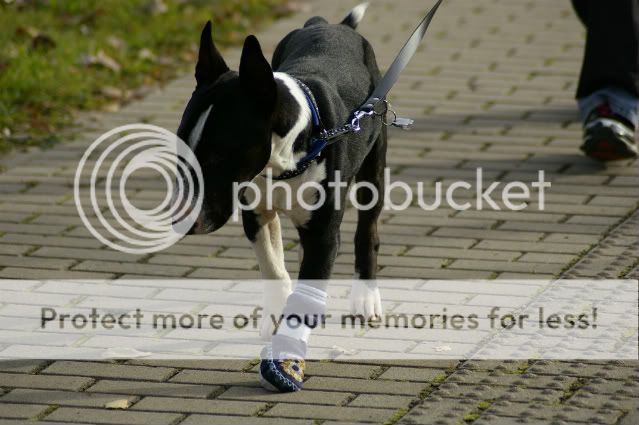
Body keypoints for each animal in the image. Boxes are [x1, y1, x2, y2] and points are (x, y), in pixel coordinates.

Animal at [177, 3, 386, 339]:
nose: (181, 221)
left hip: (374, 165)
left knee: (367, 230)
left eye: (219, 157)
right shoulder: (257, 214)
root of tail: (333, 25)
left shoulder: (323, 231)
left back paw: (366, 299)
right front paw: (276, 316)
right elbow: (273, 268)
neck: (283, 163)